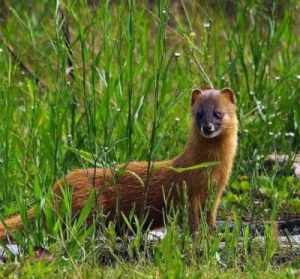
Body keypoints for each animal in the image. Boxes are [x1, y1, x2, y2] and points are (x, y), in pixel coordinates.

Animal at [0, 88, 239, 241]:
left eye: (218, 113)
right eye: (198, 114)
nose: (207, 127)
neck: (211, 170)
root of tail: (56, 187)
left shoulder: (217, 192)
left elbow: (210, 216)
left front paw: (212, 233)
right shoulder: (190, 190)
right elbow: (193, 218)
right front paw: (198, 236)